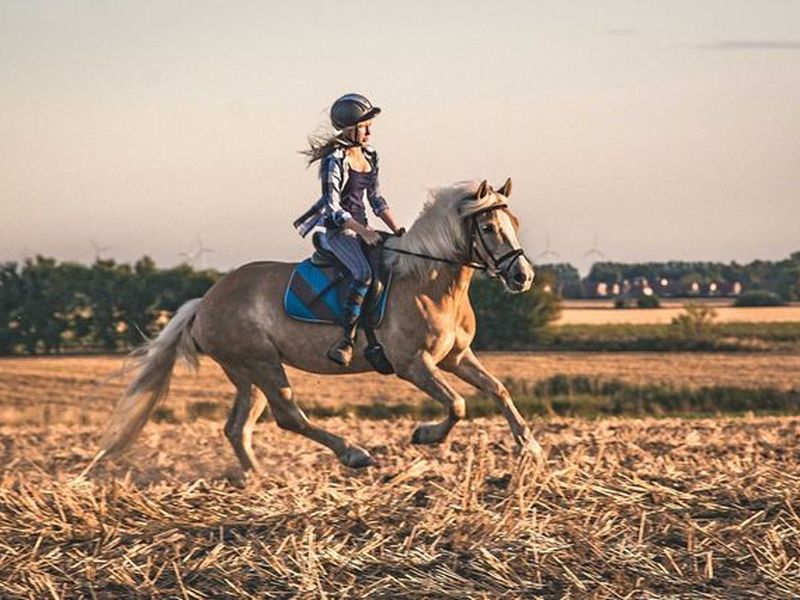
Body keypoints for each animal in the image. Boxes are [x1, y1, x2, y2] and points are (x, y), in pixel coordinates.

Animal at [95, 179, 544, 474]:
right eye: (488, 228)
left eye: (516, 224)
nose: (522, 276)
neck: (428, 281)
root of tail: (204, 303)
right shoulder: (414, 365)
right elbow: (457, 404)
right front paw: (424, 435)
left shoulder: (456, 356)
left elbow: (498, 390)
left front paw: (532, 448)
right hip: (262, 365)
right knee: (288, 416)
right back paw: (354, 454)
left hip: (246, 374)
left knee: (238, 427)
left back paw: (259, 479)